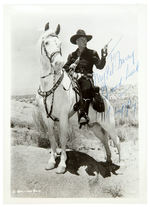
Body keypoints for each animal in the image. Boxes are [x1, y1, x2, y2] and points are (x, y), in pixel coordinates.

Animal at [35, 22, 120, 174]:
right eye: (46, 42)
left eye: (60, 44)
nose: (58, 63)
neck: (49, 87)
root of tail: (107, 102)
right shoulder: (46, 117)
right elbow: (52, 138)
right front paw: (51, 162)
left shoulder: (63, 118)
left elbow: (63, 139)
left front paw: (62, 165)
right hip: (95, 127)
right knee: (105, 140)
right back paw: (108, 160)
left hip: (109, 125)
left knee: (117, 140)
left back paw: (120, 162)